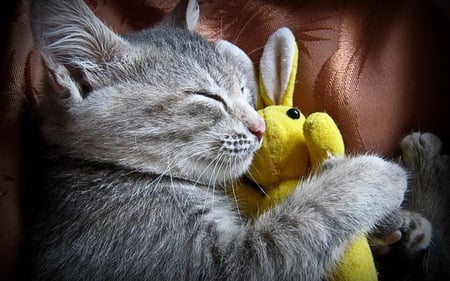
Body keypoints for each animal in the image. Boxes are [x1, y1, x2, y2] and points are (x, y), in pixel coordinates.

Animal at [22, 0, 412, 280]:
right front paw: (376, 175)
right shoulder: (220, 265)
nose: (259, 126)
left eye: (242, 89)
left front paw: (399, 225)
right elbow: (302, 221)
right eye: (207, 97)